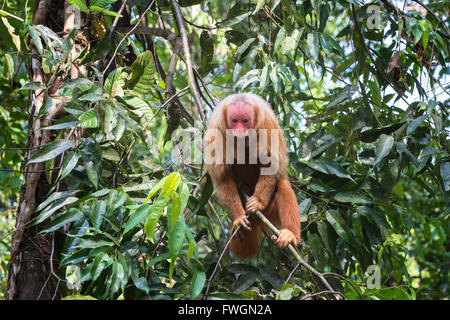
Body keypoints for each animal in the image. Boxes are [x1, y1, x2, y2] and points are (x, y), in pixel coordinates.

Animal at [206, 94, 300, 258]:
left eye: (244, 121)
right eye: (234, 120)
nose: (239, 129)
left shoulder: (267, 124)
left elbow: (271, 166)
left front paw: (258, 202)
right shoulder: (216, 129)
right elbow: (222, 176)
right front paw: (238, 218)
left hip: (270, 212)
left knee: (282, 184)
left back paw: (290, 234)